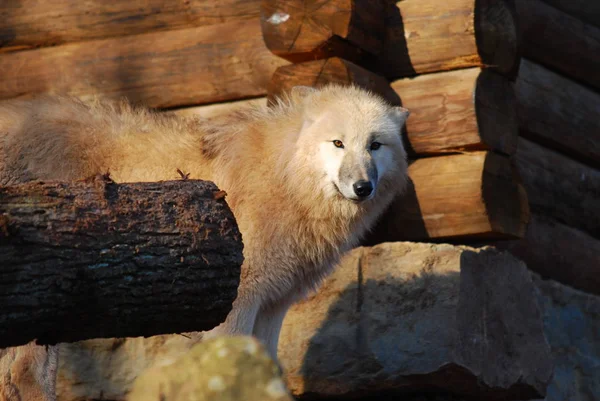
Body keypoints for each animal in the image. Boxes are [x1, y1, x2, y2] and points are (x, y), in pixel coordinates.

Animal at [0, 83, 408, 394]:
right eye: (338, 143)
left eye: (375, 145)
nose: (363, 187)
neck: (284, 178)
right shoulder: (239, 302)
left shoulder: (274, 305)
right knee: (24, 376)